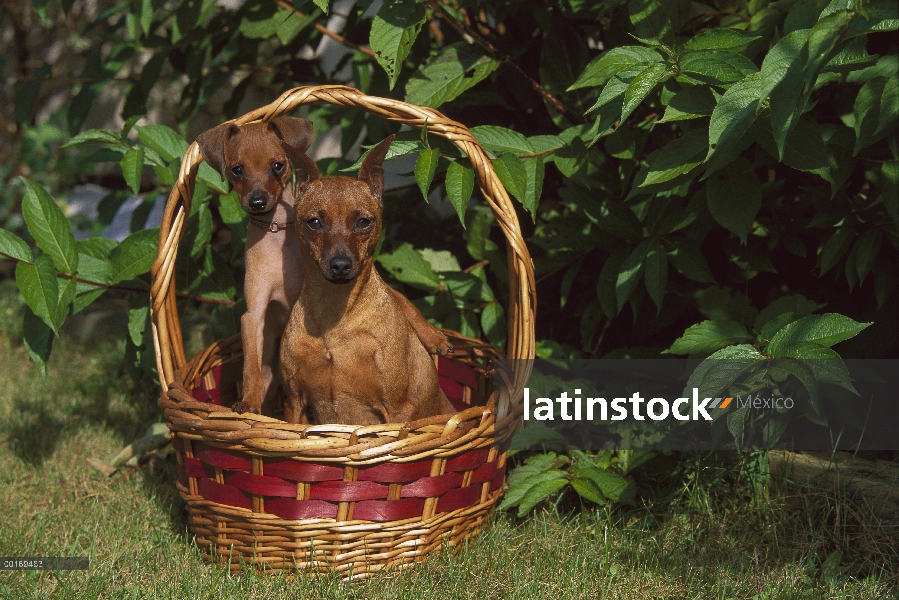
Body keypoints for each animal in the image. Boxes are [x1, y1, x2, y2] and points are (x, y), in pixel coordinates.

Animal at [196, 117, 312, 418]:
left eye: (277, 166)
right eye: (237, 170)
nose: (257, 202)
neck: (276, 229)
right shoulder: (253, 315)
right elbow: (250, 367)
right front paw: (248, 401)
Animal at [280, 136, 458, 426]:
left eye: (364, 222)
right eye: (314, 222)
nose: (340, 265)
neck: (334, 317)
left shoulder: (397, 411)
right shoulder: (293, 404)